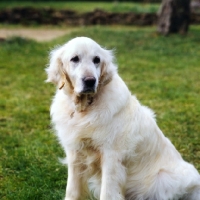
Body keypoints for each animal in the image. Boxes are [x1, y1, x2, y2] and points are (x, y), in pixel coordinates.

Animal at [45, 36, 200, 200]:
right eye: (75, 59)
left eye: (96, 60)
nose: (90, 80)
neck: (84, 109)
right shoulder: (75, 153)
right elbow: (72, 190)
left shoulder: (111, 157)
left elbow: (107, 192)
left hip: (165, 178)